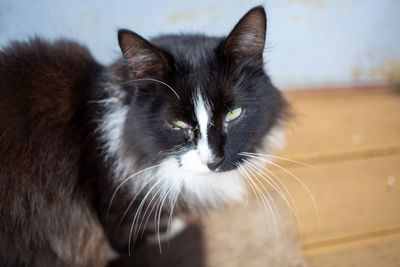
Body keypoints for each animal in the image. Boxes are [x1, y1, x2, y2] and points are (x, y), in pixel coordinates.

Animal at [0, 4, 288, 267]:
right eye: (178, 123)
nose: (212, 161)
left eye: (233, 114)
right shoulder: (115, 214)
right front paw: (171, 228)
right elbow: (129, 240)